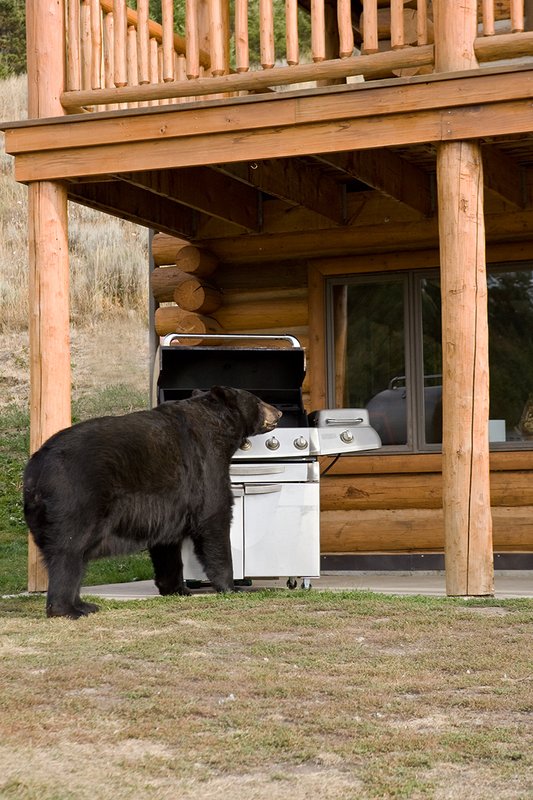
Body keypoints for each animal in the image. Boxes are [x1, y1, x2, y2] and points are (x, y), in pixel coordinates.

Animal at [23, 386, 281, 618]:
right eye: (258, 400)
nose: (278, 412)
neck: (219, 430)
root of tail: (35, 470)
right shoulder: (206, 465)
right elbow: (214, 519)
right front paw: (231, 586)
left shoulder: (171, 503)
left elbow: (167, 544)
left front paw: (177, 588)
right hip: (76, 499)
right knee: (69, 552)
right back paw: (70, 609)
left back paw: (84, 604)